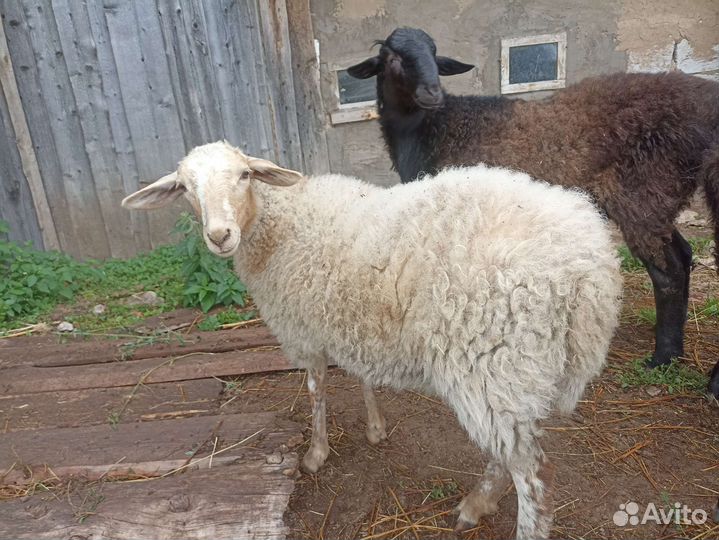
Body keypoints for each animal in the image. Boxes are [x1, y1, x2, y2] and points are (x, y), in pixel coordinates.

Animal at [122, 141, 621, 538]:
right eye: (186, 188)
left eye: (244, 175)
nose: (220, 235)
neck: (279, 221)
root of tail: (590, 267)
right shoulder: (351, 319)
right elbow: (360, 375)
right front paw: (376, 427)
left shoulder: (305, 330)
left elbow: (316, 389)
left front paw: (315, 454)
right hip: (512, 373)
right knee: (511, 453)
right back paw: (478, 502)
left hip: (492, 359)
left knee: (533, 476)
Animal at [347, 27, 719, 397]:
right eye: (391, 57)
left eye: (434, 53)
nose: (432, 92)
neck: (435, 127)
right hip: (658, 198)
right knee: (683, 255)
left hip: (642, 192)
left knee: (668, 271)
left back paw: (667, 357)